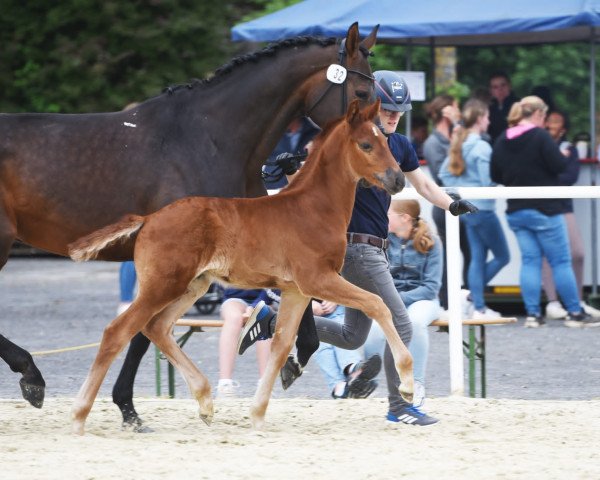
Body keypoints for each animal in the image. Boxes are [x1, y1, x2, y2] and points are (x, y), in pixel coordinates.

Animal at [67, 99, 412, 434]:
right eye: (366, 145)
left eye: (386, 142)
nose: (398, 180)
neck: (313, 208)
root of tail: (148, 219)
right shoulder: (318, 280)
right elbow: (377, 303)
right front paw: (408, 385)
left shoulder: (296, 291)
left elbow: (281, 344)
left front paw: (257, 415)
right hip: (163, 285)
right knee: (118, 331)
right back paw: (80, 416)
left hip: (193, 285)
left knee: (157, 327)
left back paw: (205, 402)